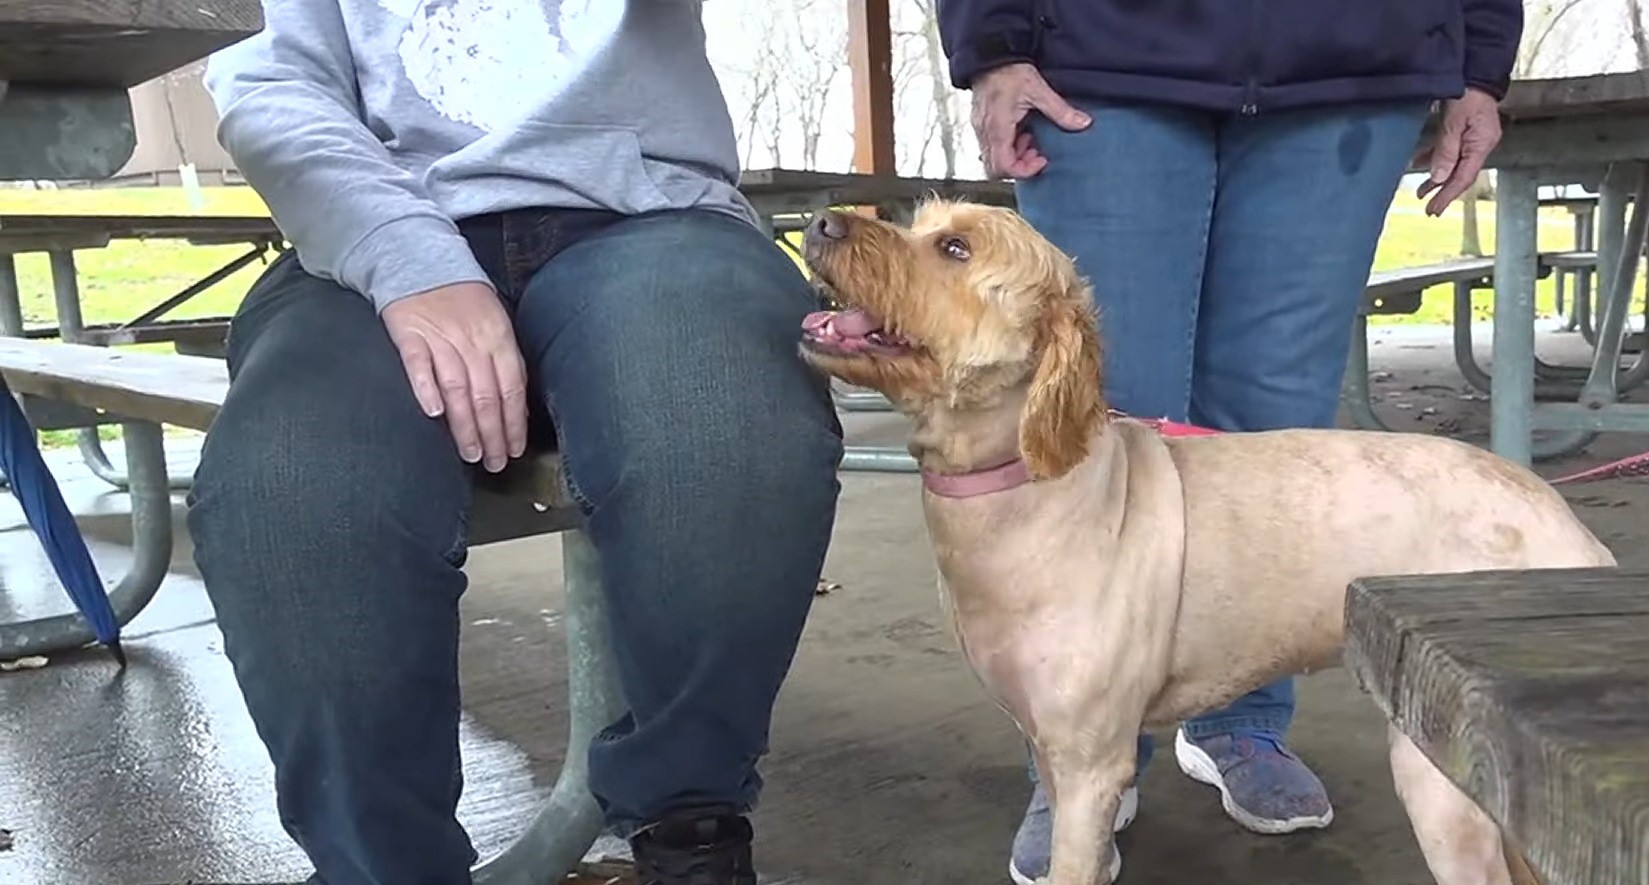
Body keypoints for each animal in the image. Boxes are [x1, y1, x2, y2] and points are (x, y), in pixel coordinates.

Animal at [798, 200, 1609, 883]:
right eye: (921, 224)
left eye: (955, 248)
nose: (821, 221)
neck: (1030, 481)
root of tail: (1576, 533)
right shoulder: (1053, 751)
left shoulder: (1090, 766)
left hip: (1440, 783)